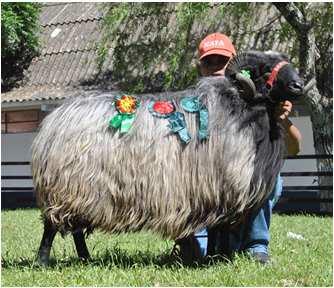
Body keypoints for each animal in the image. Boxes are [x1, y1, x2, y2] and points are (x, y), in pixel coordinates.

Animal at [32, 50, 304, 264]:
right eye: (264, 70)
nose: (299, 86)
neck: (244, 108)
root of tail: (54, 120)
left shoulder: (214, 191)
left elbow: (217, 230)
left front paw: (214, 257)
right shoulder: (224, 185)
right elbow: (222, 228)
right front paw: (220, 259)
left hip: (81, 191)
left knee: (76, 229)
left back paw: (85, 258)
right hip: (67, 186)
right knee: (51, 226)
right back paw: (42, 261)